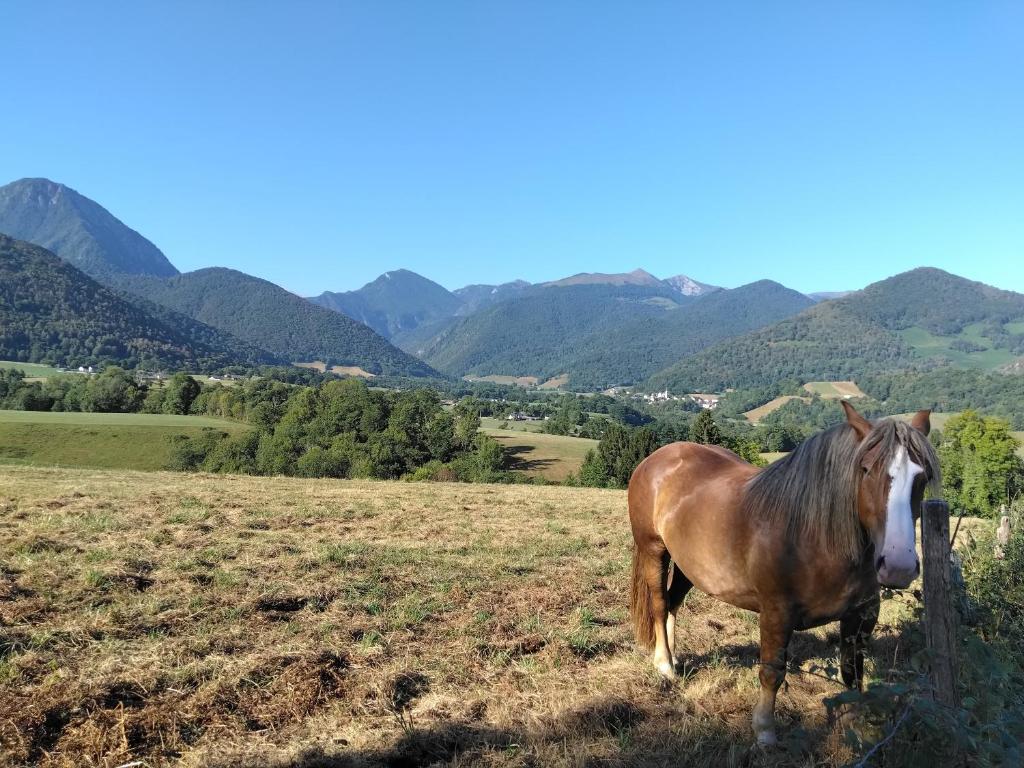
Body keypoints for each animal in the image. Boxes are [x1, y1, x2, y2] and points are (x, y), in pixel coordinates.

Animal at [627, 401, 939, 746]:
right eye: (866, 469)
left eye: (922, 477)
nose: (898, 565)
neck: (813, 536)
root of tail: (658, 457)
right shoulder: (776, 612)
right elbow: (772, 672)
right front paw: (764, 731)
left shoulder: (862, 616)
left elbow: (853, 673)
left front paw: (856, 730)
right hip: (654, 550)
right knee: (659, 604)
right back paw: (665, 665)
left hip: (689, 564)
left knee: (672, 603)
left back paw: (674, 656)